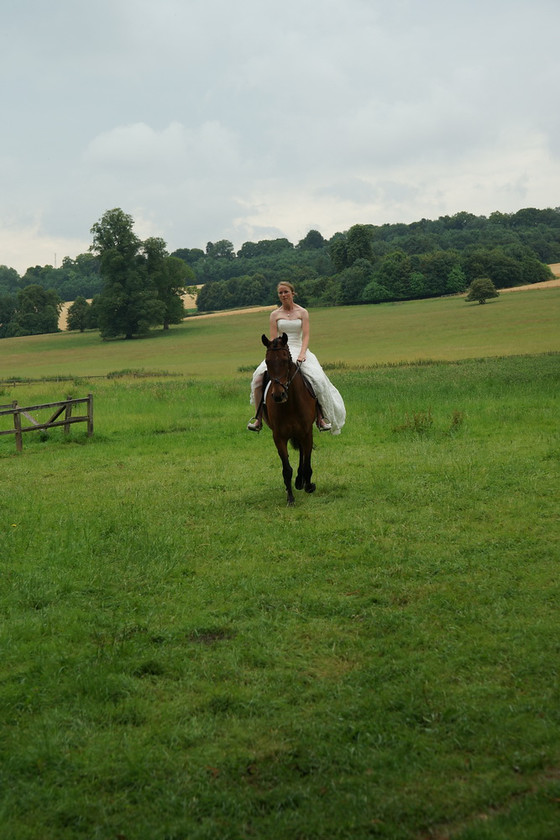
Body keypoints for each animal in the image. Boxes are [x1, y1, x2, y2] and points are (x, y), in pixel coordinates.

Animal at [262, 334, 318, 506]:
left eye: (285, 360)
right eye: (267, 361)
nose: (278, 395)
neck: (290, 404)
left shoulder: (307, 433)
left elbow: (307, 462)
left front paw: (309, 485)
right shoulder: (279, 437)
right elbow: (286, 469)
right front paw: (290, 498)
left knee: (303, 454)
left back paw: (302, 481)